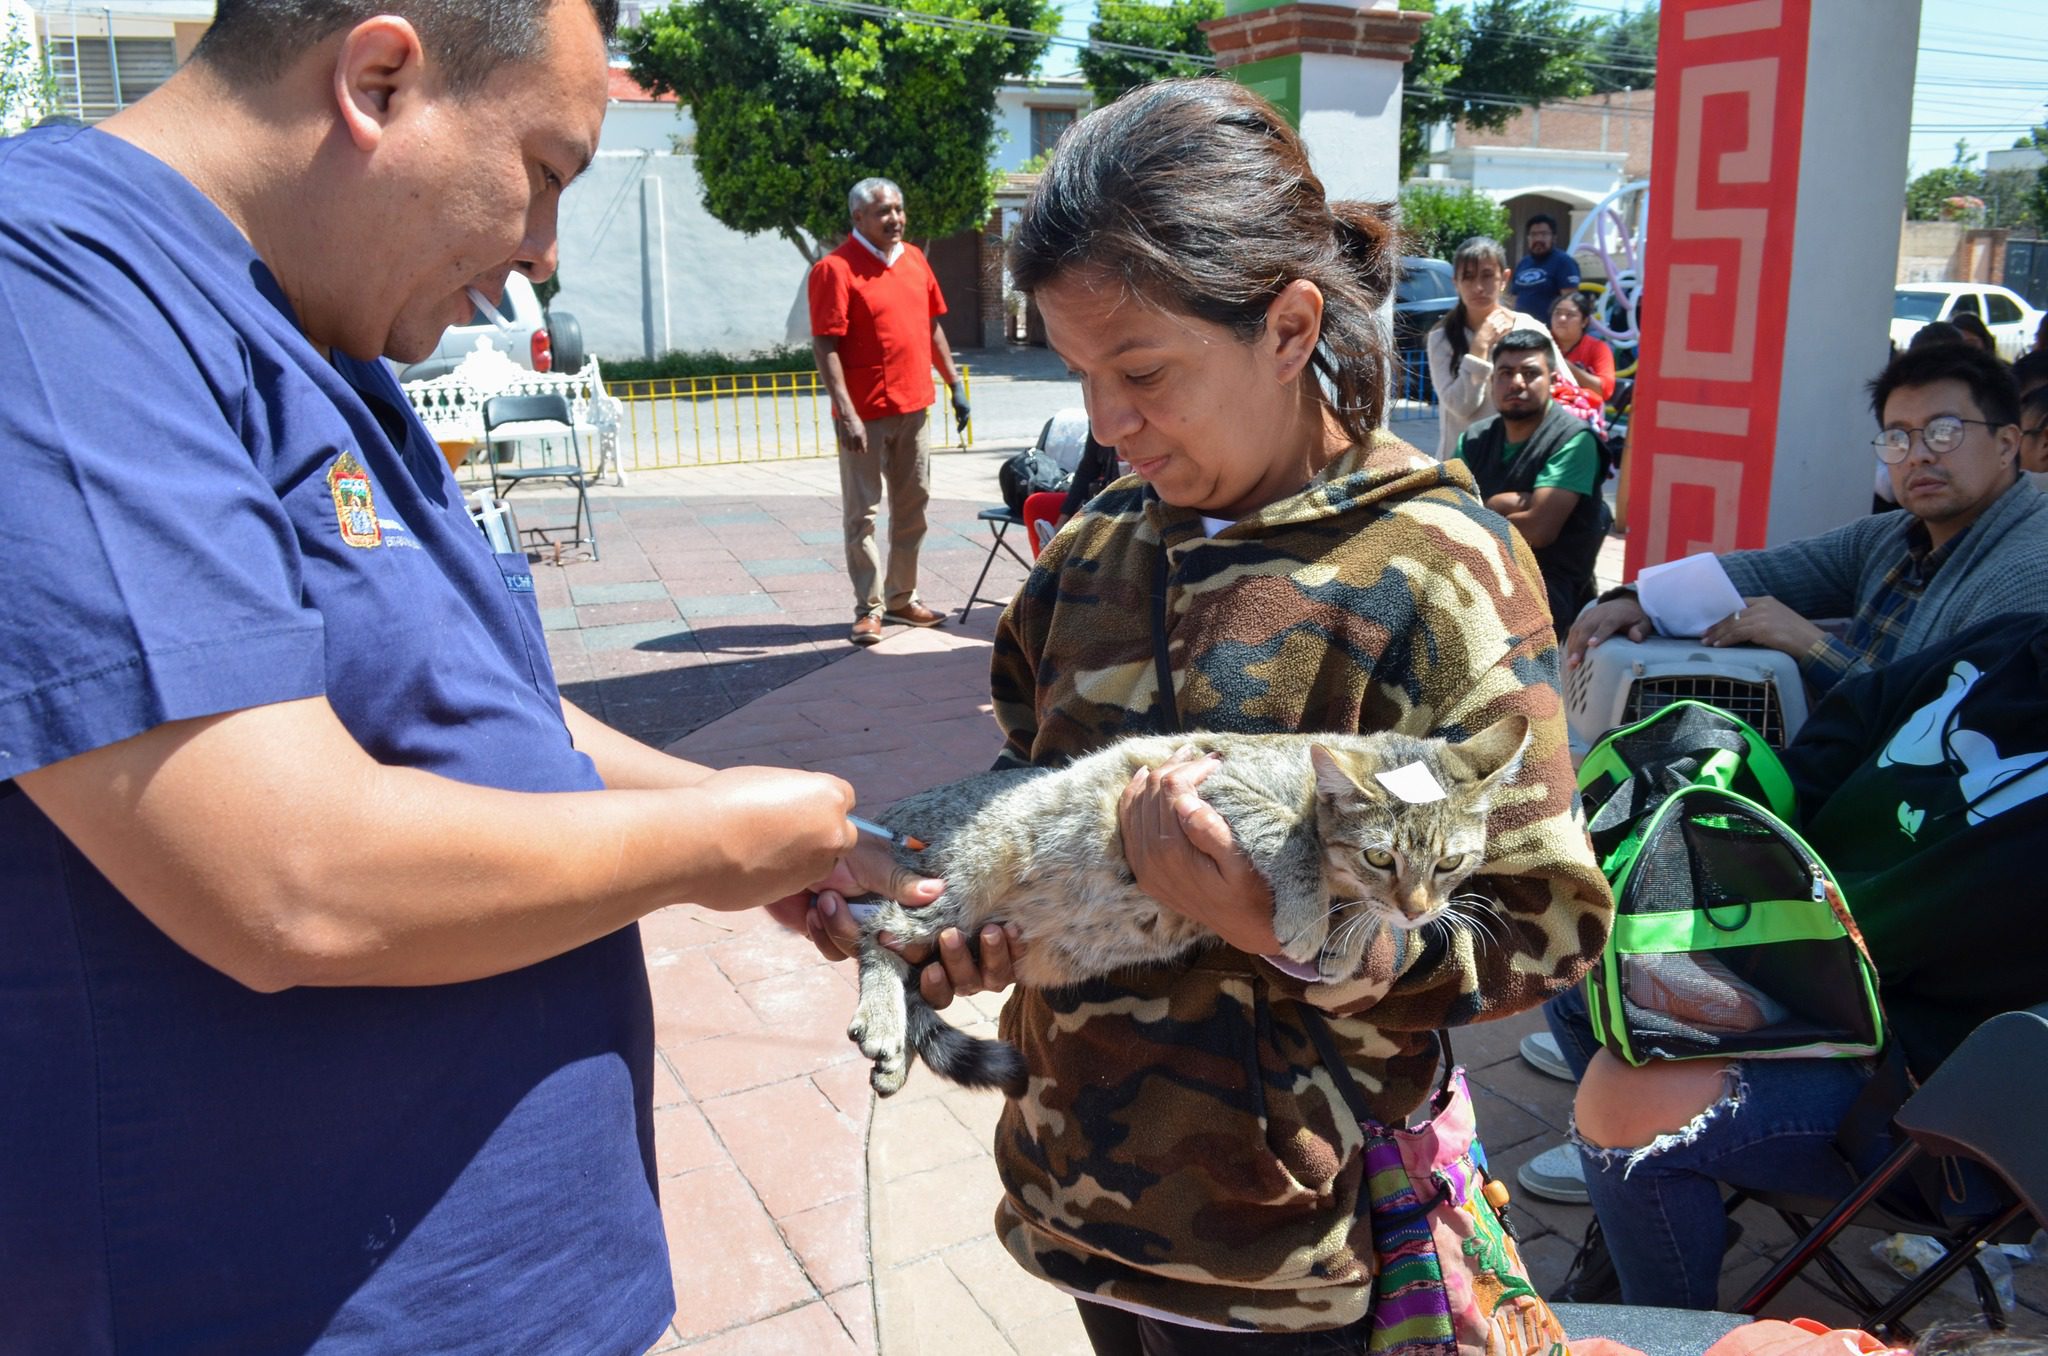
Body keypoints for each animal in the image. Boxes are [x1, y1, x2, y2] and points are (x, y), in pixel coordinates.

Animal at [839, 716, 1531, 1097]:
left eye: (1450, 863)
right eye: (1381, 857)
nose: (1417, 911)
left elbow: (1367, 913)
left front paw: (1353, 942)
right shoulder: (1204, 774)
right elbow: (1288, 834)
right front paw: (1307, 913)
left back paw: (899, 1049)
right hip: (964, 875)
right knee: (878, 933)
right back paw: (882, 1020)